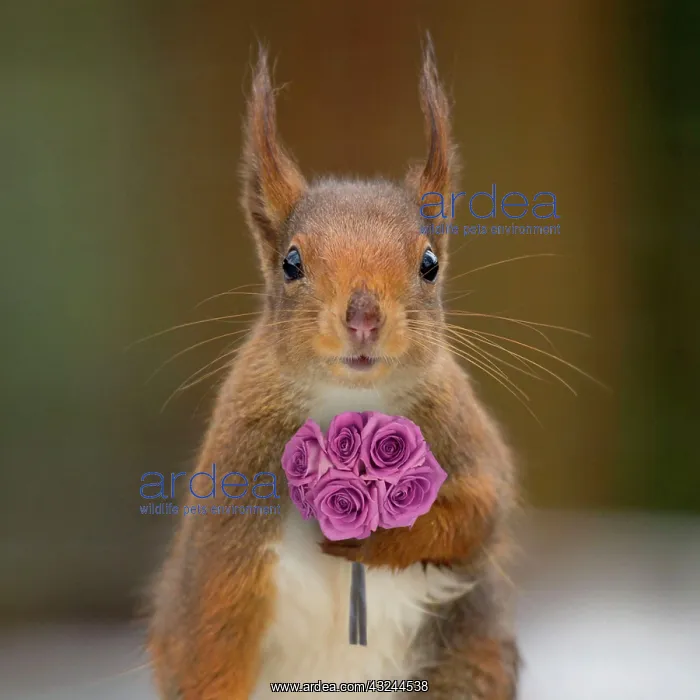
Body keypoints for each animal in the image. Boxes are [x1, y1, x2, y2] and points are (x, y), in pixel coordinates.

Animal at [147, 34, 520, 700]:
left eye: (429, 263)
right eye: (291, 263)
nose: (364, 317)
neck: (348, 400)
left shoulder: (467, 442)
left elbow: (479, 511)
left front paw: (367, 537)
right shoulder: (229, 516)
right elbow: (212, 634)